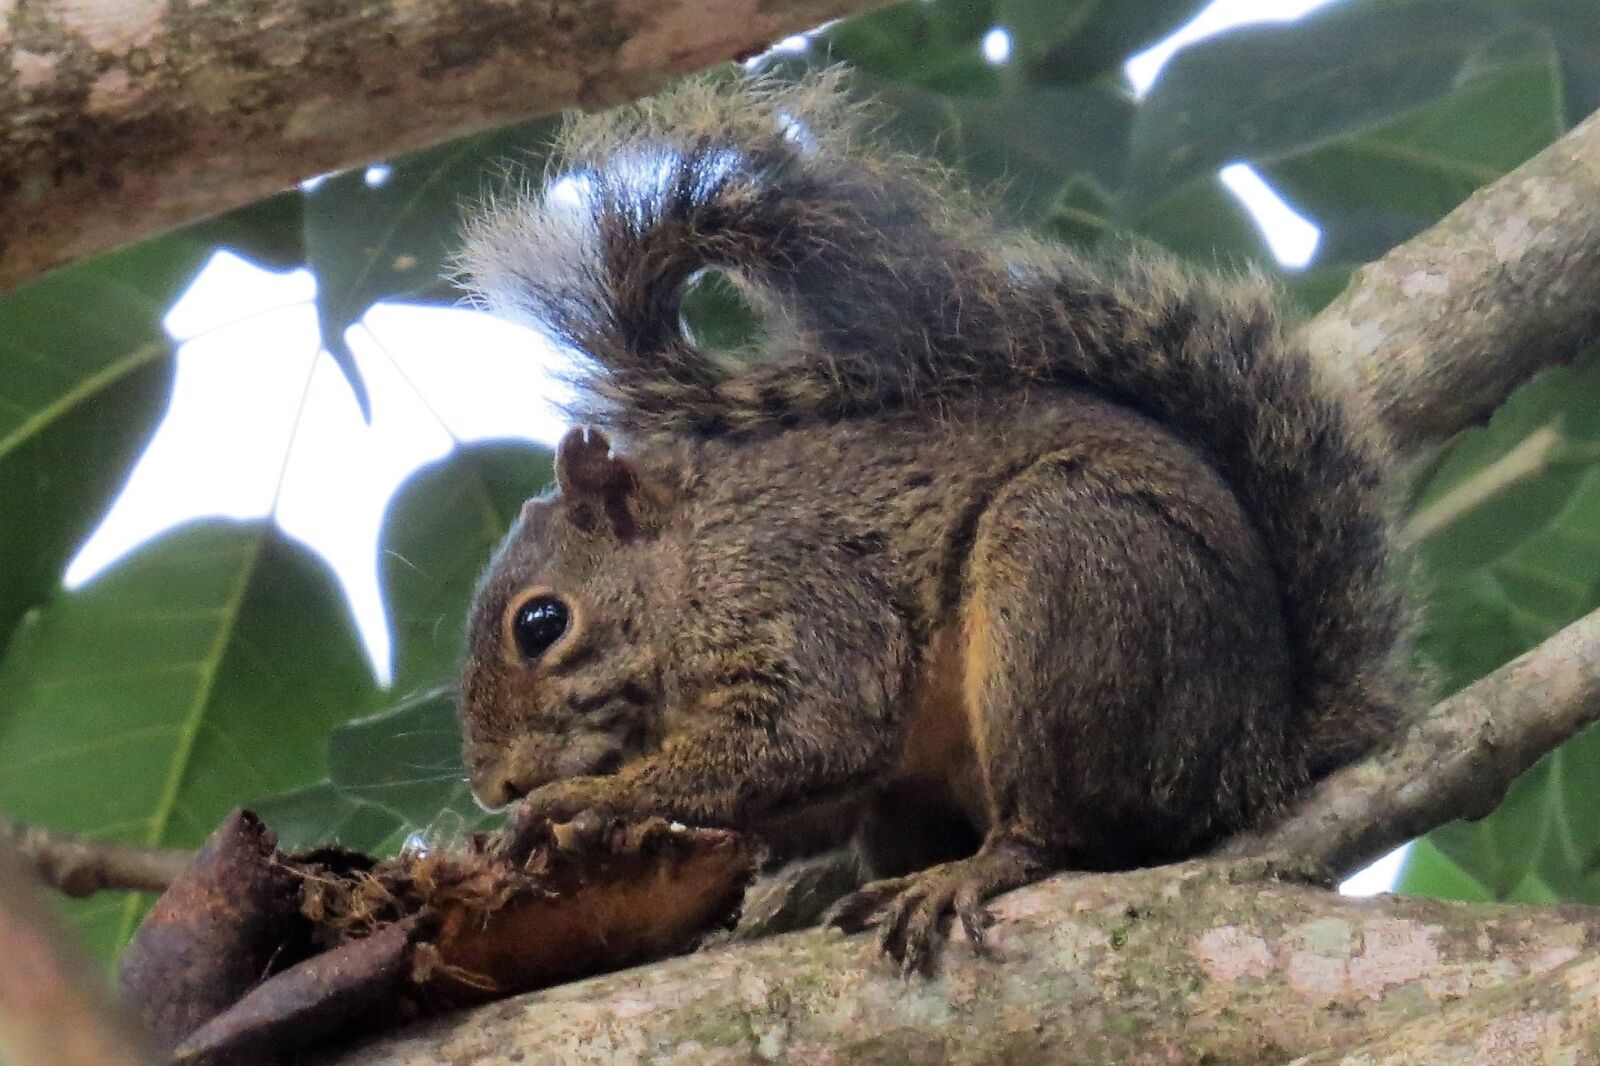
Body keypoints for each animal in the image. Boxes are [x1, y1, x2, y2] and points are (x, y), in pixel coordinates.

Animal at [455, 70, 1415, 972]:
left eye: (540, 623)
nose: (496, 788)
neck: (690, 561)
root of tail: (1259, 757)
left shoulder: (801, 589)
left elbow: (815, 732)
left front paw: (580, 803)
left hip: (1072, 574)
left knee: (1067, 830)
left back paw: (976, 871)